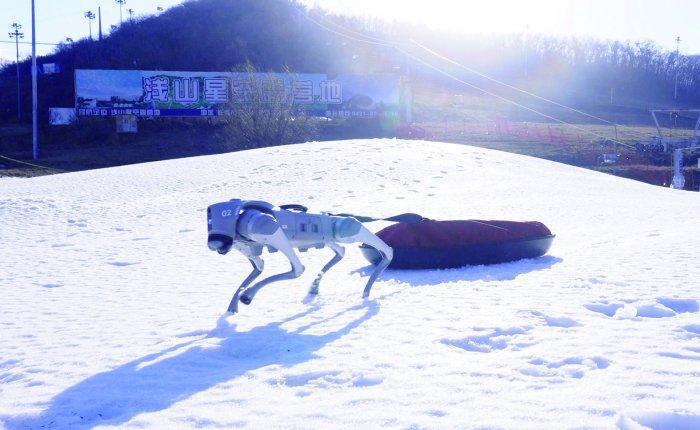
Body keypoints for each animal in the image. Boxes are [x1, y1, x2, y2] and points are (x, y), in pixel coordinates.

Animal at [206, 200, 394, 314]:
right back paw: (315, 287)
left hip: (343, 230)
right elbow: (259, 267)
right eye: (209, 221)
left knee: (383, 247)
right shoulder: (247, 247)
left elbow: (298, 269)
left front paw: (247, 295)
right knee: (341, 250)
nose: (214, 243)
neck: (241, 218)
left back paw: (367, 289)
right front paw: (232, 308)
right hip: (328, 239)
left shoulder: (267, 228)